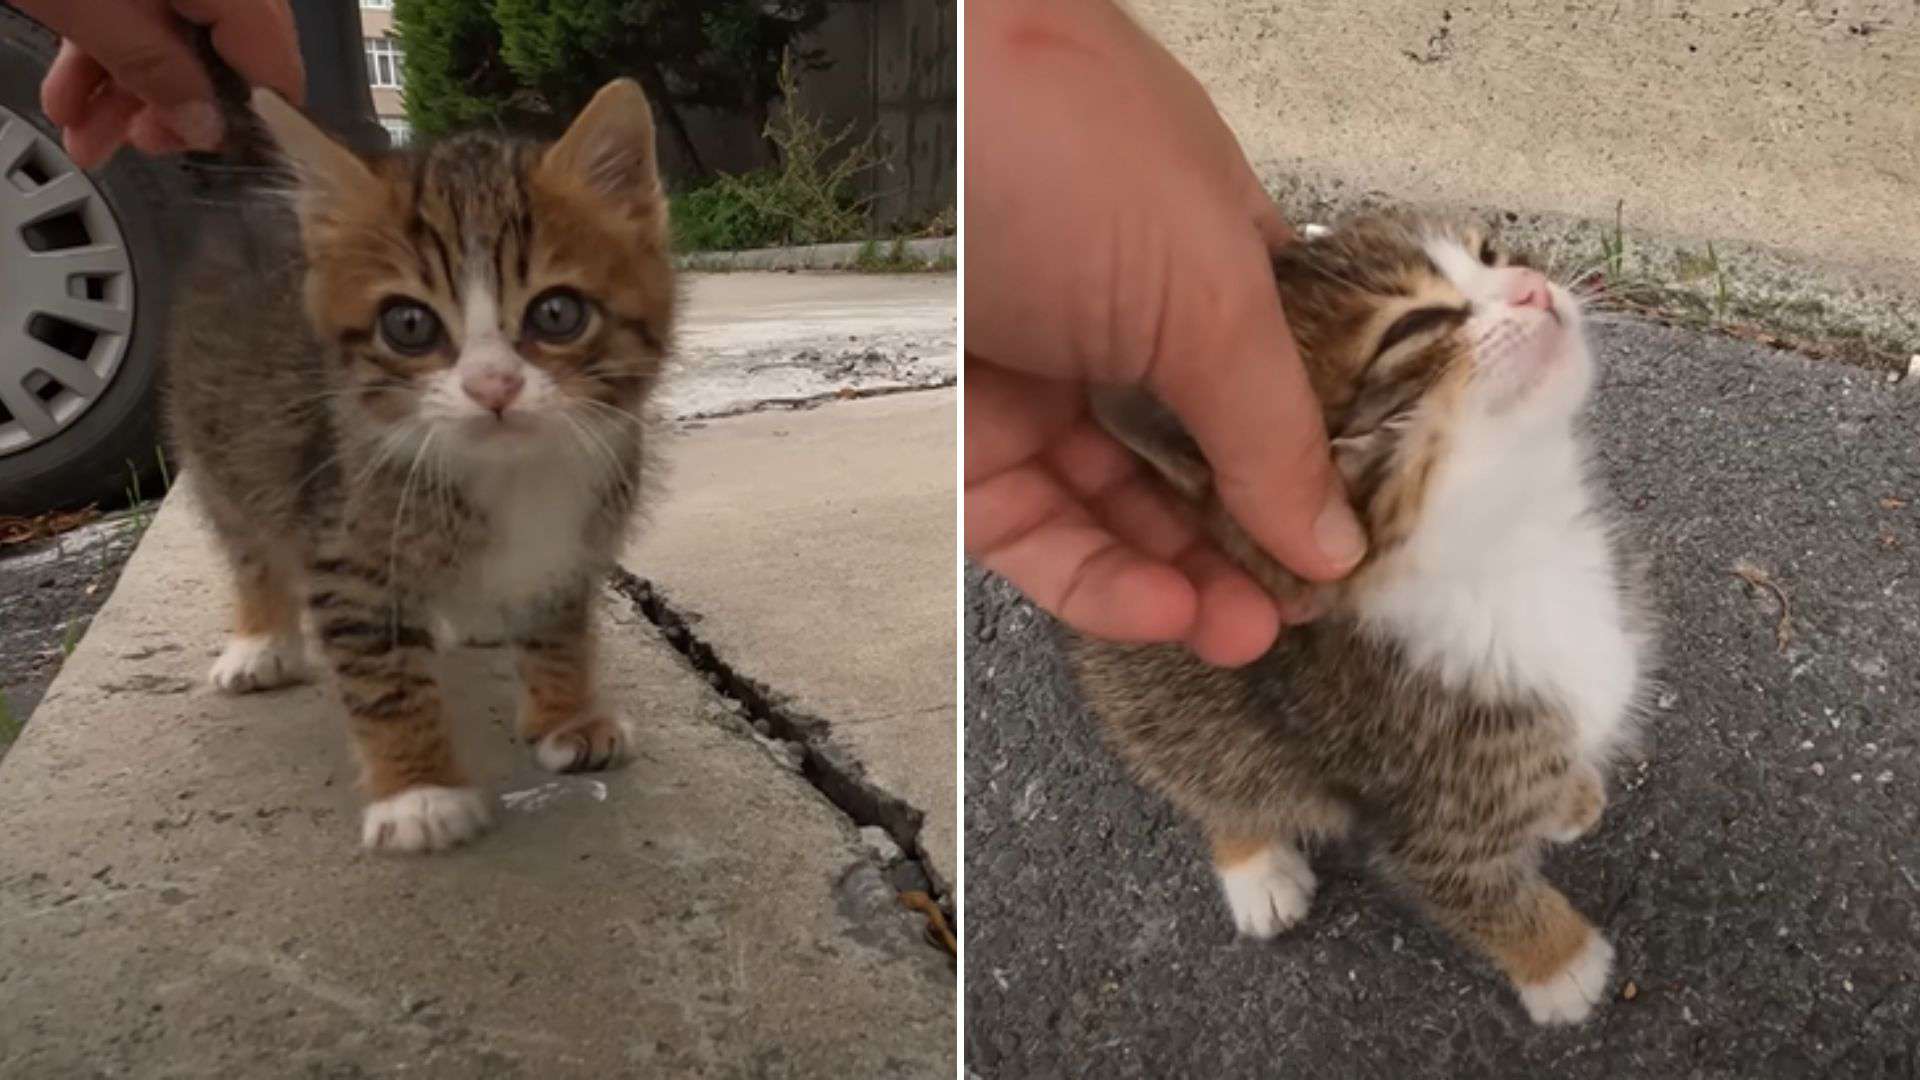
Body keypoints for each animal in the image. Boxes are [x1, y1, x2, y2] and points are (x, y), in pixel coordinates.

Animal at [165, 82, 679, 849]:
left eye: (557, 313)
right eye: (408, 325)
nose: (493, 386)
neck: (511, 473)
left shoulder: (575, 540)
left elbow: (558, 625)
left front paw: (565, 716)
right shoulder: (347, 548)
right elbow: (384, 678)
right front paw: (419, 792)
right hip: (218, 443)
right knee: (248, 542)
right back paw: (261, 640)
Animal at [1075, 212, 1658, 1022]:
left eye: (1490, 254)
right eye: (1414, 326)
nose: (1532, 286)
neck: (1513, 544)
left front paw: (1565, 792)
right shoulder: (1421, 801)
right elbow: (1471, 887)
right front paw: (1561, 964)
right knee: (1200, 760)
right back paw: (1252, 861)